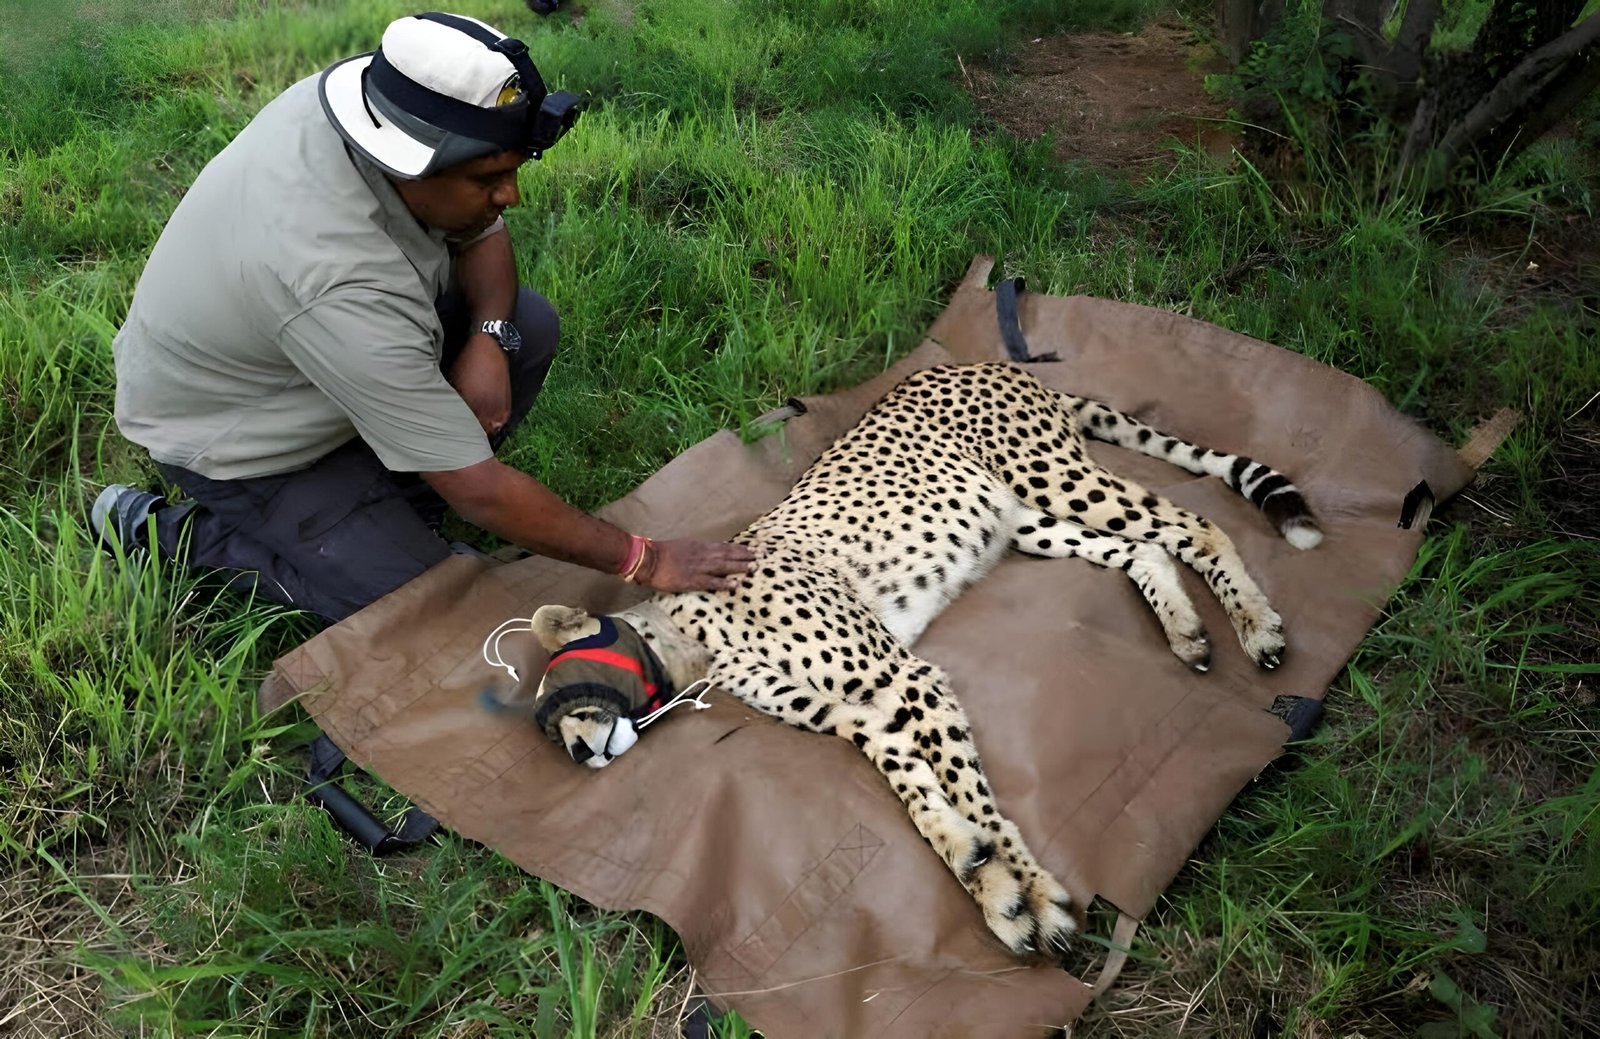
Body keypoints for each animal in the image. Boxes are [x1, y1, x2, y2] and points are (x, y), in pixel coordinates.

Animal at [518, 363, 1318, 954]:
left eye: (564, 698)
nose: (580, 754)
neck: (687, 636)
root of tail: (980, 361)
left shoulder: (903, 675)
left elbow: (978, 798)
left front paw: (1036, 897)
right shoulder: (863, 713)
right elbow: (918, 793)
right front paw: (991, 887)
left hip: (1054, 478)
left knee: (1196, 521)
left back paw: (1256, 626)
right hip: (1025, 521)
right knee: (1143, 548)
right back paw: (1184, 628)